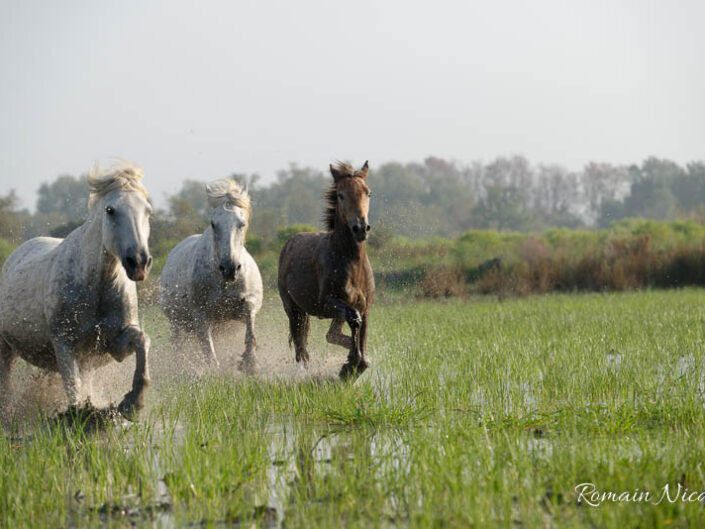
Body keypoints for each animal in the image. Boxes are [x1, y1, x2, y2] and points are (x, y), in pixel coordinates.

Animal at [0, 163, 153, 418]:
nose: (139, 262)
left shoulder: (112, 345)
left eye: (148, 211)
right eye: (110, 210)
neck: (97, 287)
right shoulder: (65, 344)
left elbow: (142, 340)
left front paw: (134, 402)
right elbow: (73, 387)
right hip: (6, 349)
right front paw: (80, 415)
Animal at [158, 177, 262, 372]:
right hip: (176, 322)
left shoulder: (248, 303)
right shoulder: (201, 314)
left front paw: (249, 363)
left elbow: (250, 331)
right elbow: (208, 349)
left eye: (242, 223)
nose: (229, 268)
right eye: (214, 224)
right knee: (177, 345)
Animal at [278, 159, 374, 378]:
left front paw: (355, 364)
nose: (360, 228)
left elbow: (361, 333)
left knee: (330, 335)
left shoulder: (365, 307)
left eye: (368, 192)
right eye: (340, 195)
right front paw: (350, 364)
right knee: (301, 348)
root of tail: (289, 244)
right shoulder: (326, 303)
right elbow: (354, 319)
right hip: (293, 309)